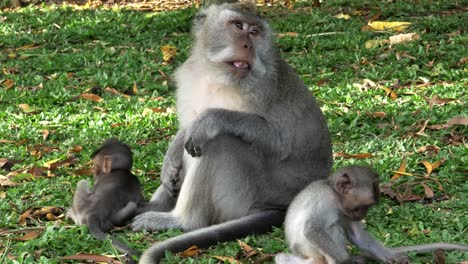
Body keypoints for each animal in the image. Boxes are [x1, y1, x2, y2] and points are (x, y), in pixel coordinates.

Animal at [276, 166, 468, 262]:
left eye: (368, 207)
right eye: (362, 206)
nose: (361, 216)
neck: (335, 196)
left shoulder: (345, 212)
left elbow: (357, 236)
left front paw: (391, 257)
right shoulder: (324, 200)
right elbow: (312, 229)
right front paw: (346, 260)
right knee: (330, 228)